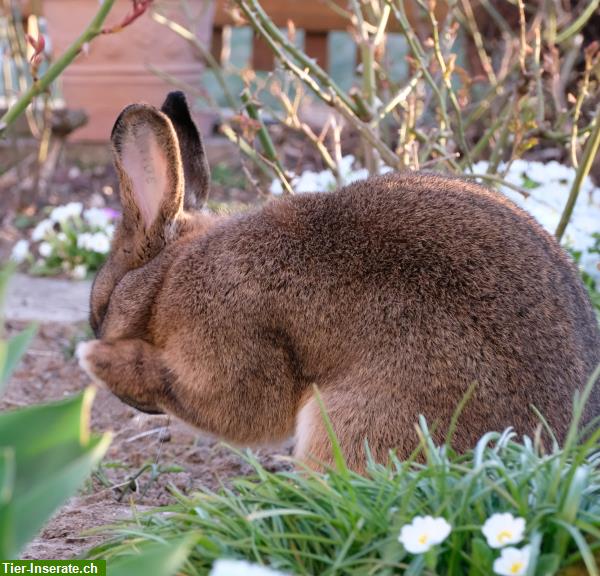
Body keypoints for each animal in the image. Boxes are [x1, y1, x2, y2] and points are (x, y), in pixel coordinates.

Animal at [76, 91, 600, 472]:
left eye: (101, 310)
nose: (128, 404)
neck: (167, 277)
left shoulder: (233, 347)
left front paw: (98, 360)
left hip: (357, 421)